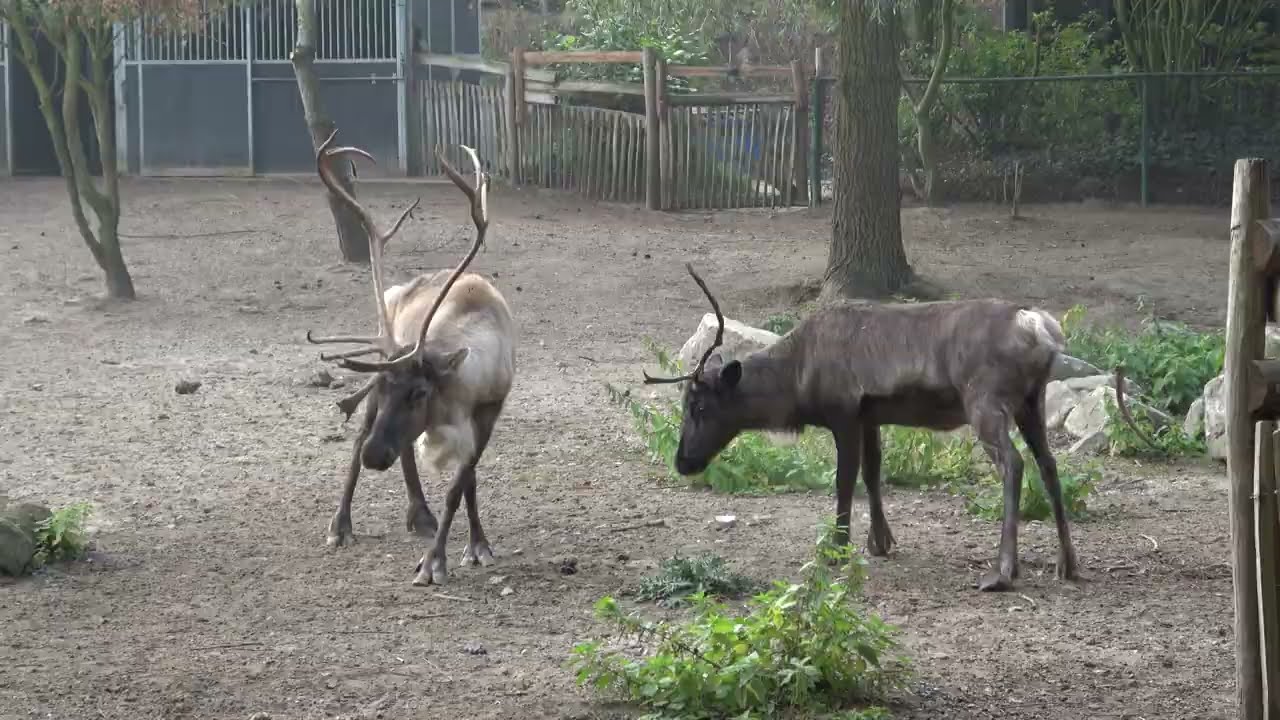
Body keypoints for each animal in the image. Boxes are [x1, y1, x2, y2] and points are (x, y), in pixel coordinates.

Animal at [304, 129, 516, 587]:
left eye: (420, 393)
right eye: (384, 386)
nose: (374, 456)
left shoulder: (488, 411)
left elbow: (463, 483)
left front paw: (475, 546)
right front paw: (433, 563)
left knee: (404, 449)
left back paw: (419, 514)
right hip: (382, 357)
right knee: (357, 437)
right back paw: (341, 525)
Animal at [642, 264, 1079, 592]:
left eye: (699, 406)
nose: (682, 462)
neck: (797, 380)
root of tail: (1040, 327)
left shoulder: (843, 413)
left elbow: (844, 479)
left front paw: (838, 546)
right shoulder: (871, 416)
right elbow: (872, 473)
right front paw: (880, 541)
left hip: (985, 401)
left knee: (1014, 464)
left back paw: (1003, 570)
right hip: (1031, 400)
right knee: (1049, 464)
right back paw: (1067, 563)